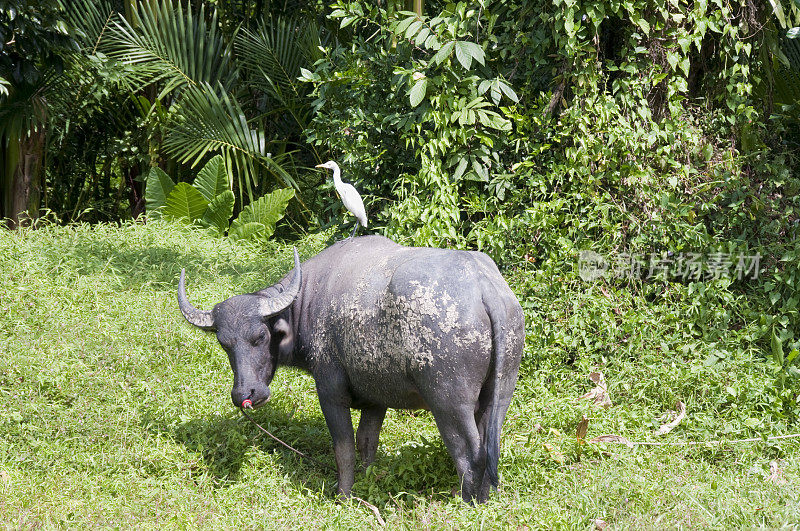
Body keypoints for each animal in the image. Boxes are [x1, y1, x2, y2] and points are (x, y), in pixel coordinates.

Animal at [178, 236, 520, 502]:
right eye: (224, 343)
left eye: (260, 336)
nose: (244, 393)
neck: (310, 297)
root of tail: (483, 287)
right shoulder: (376, 400)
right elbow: (367, 444)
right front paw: (366, 484)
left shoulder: (331, 393)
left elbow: (344, 448)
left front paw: (343, 495)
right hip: (499, 395)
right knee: (491, 446)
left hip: (449, 402)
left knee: (470, 453)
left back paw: (466, 502)